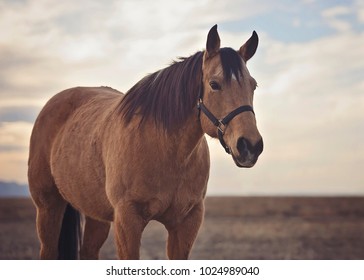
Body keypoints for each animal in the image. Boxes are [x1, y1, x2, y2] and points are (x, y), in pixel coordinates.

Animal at [27, 25, 262, 260]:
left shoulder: (187, 222)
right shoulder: (127, 221)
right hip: (48, 207)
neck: (166, 150)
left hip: (96, 214)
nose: (250, 146)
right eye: (214, 84)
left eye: (253, 86)